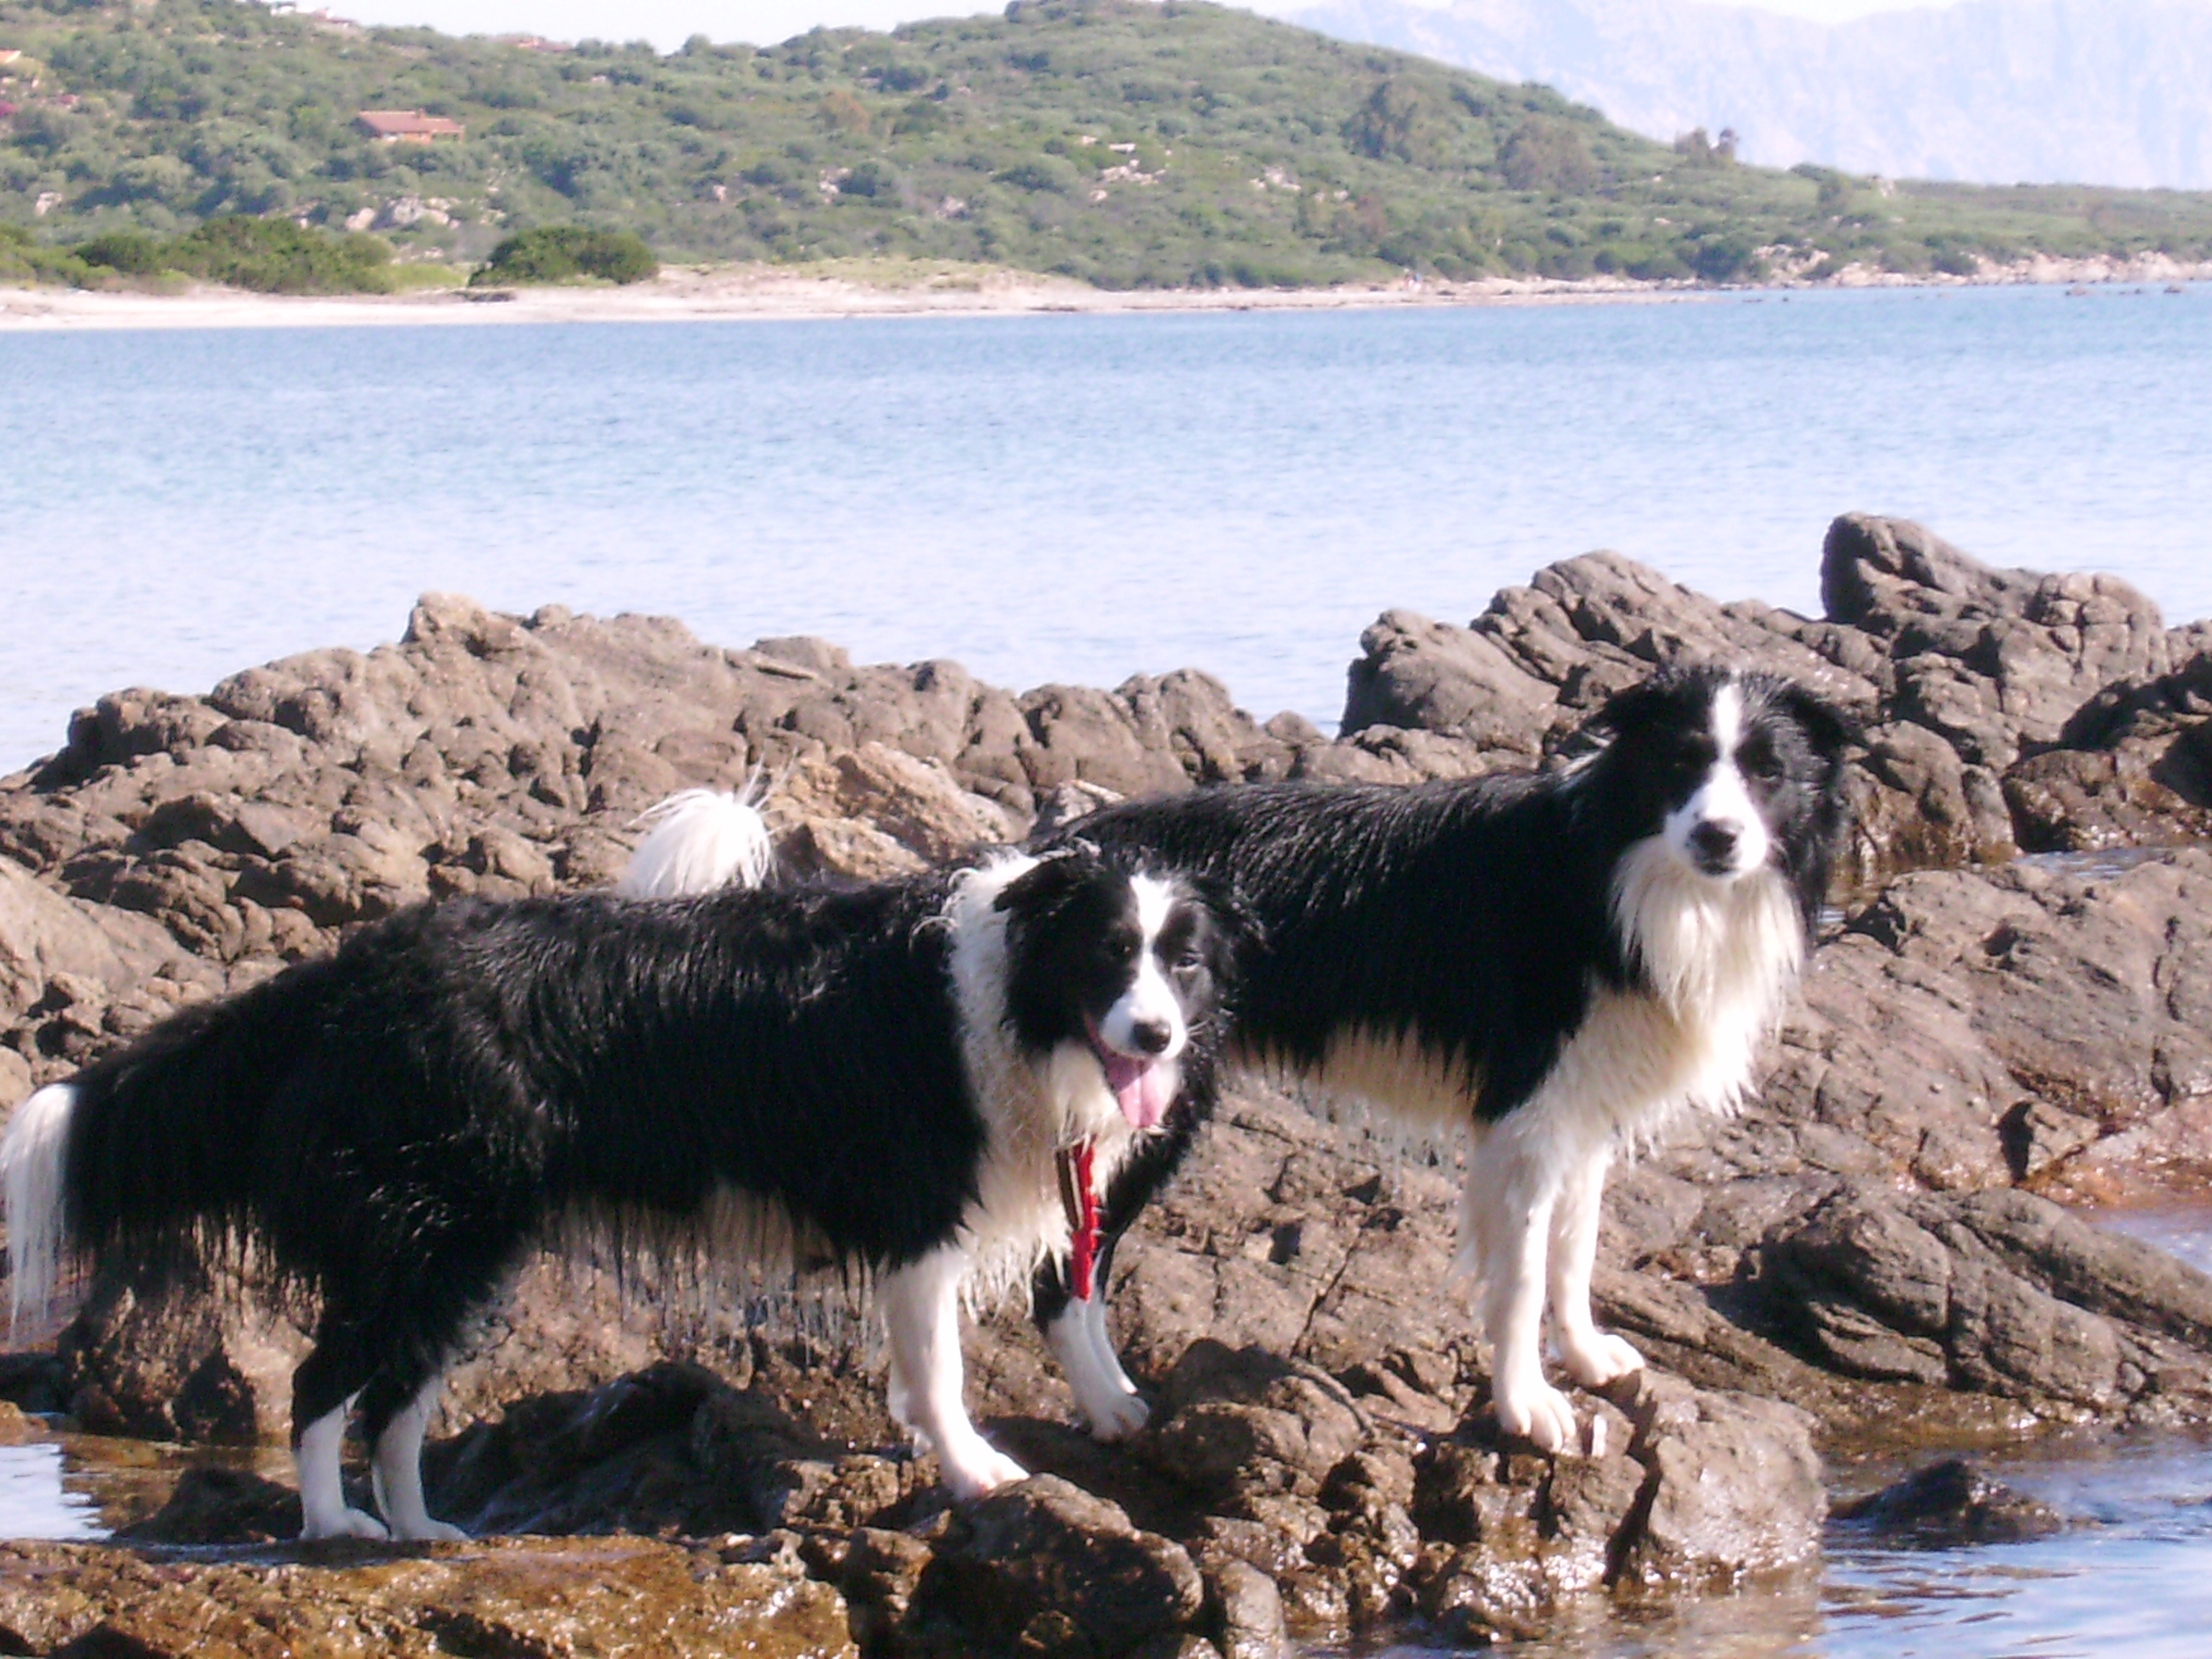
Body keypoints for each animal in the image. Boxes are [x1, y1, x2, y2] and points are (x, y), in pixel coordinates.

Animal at [2, 844, 1241, 1540]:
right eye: (1108, 953)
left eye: (1182, 962)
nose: (1157, 1036)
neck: (1011, 994)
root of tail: (343, 975)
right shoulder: (916, 1218)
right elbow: (939, 1378)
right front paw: (979, 1474)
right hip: (417, 1238)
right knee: (322, 1387)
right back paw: (330, 1528)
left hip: (459, 1248)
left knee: (396, 1402)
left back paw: (420, 1531)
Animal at [1045, 665, 1850, 1451]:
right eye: (1682, 762)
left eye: (1769, 771)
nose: (1719, 836)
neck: (1612, 880)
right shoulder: (1525, 1117)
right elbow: (1522, 1277)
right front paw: (1528, 1407)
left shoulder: (1583, 1102)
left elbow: (1576, 1245)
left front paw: (1585, 1355)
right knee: (1062, 1281)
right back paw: (1107, 1408)